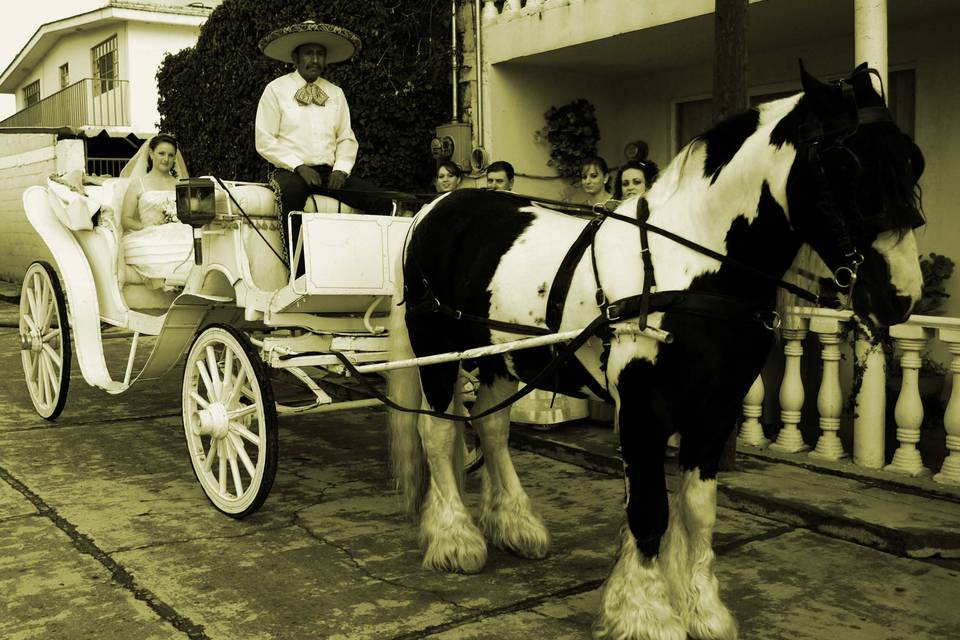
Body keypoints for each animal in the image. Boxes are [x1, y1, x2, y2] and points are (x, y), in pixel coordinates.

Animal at [386, 63, 928, 640]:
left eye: (911, 158)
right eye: (844, 162)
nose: (900, 295)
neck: (691, 269)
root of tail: (434, 207)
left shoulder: (715, 411)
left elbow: (698, 508)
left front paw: (701, 608)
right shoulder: (643, 408)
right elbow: (649, 508)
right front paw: (645, 614)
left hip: (502, 358)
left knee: (491, 427)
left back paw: (516, 523)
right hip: (437, 353)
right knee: (438, 433)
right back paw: (455, 538)